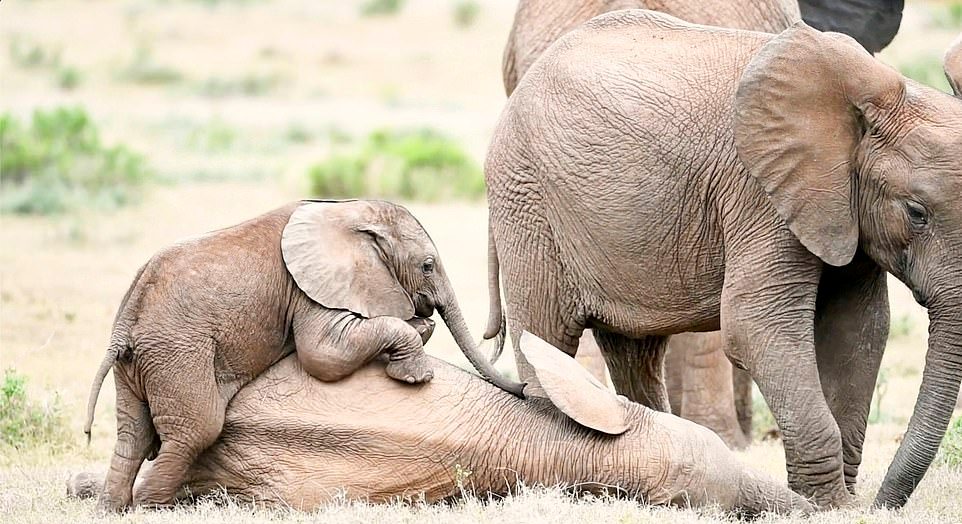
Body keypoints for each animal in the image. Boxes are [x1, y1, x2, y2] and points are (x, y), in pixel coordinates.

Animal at [82, 200, 520, 512]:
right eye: (427, 266)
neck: (348, 212)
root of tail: (127, 322)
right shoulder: (309, 289)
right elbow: (322, 356)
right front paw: (416, 371)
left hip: (141, 362)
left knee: (133, 434)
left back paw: (111, 509)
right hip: (178, 352)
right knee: (196, 430)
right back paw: (149, 508)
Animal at [484, 10, 960, 510]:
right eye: (917, 212)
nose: (880, 503)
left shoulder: (843, 206)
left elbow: (860, 328)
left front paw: (839, 503)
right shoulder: (761, 193)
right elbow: (756, 325)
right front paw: (829, 506)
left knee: (635, 350)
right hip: (526, 200)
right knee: (547, 333)